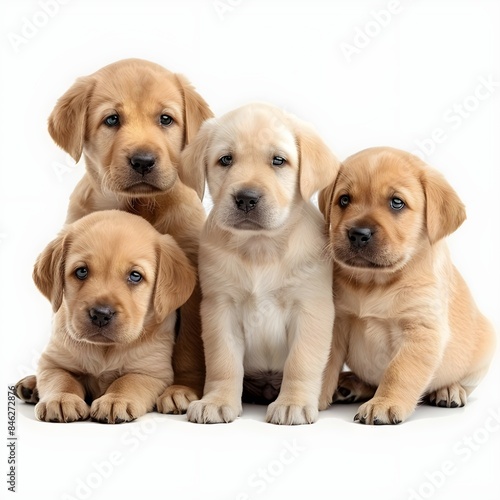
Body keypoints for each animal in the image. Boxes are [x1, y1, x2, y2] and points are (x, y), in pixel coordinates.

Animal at [31, 209, 195, 424]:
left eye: (135, 276)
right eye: (81, 271)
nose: (101, 314)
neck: (105, 350)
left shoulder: (151, 371)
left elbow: (128, 381)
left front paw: (115, 400)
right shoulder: (52, 363)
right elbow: (62, 380)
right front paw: (61, 398)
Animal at [180, 103, 340, 424]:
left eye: (278, 160)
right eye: (226, 159)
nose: (246, 198)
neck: (259, 248)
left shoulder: (310, 307)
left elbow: (301, 361)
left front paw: (293, 403)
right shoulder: (220, 307)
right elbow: (223, 362)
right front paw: (217, 401)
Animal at [318, 146, 494, 424]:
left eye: (396, 202)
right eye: (344, 200)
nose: (358, 234)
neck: (375, 283)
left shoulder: (421, 331)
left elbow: (398, 373)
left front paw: (384, 403)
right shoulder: (337, 322)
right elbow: (324, 362)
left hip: (484, 350)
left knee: (462, 383)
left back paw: (449, 390)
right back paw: (351, 384)